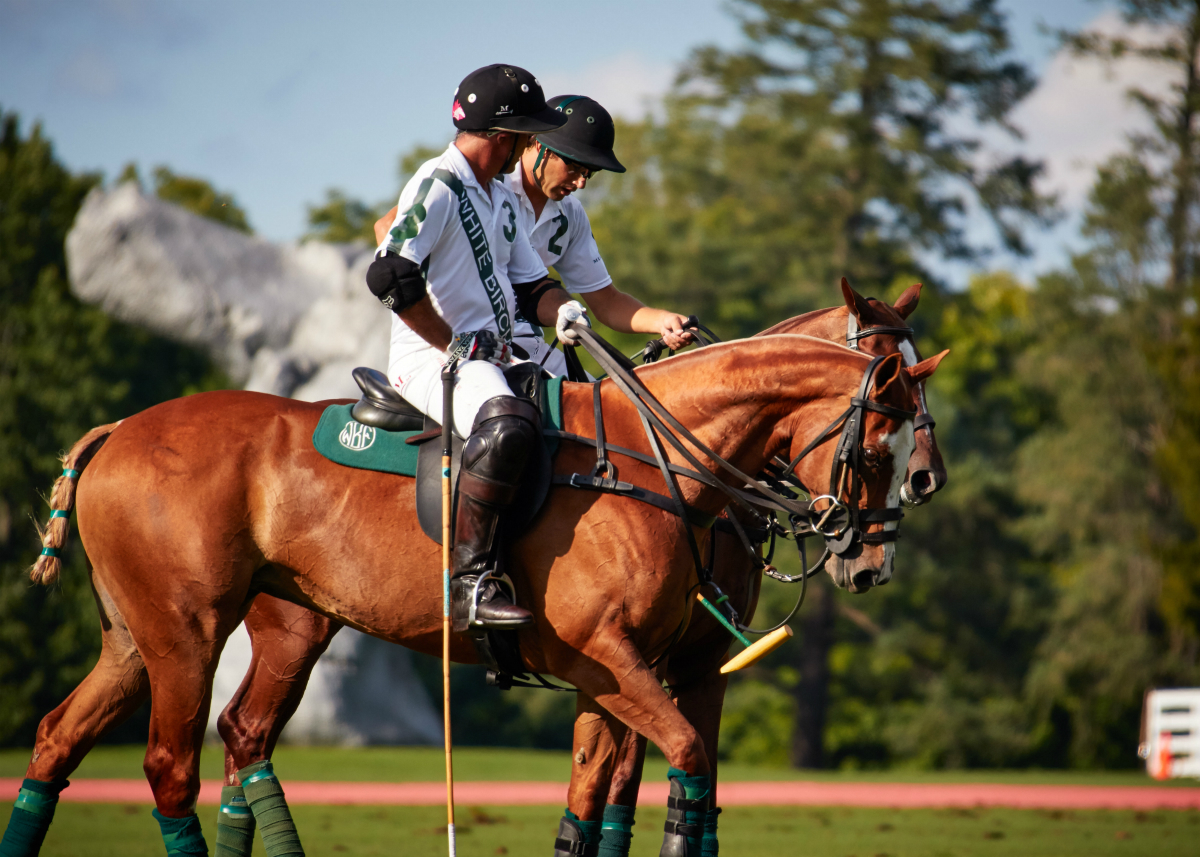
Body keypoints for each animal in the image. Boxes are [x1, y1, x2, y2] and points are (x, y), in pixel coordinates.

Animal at [14, 331, 940, 849]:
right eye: (874, 451)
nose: (871, 565)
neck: (655, 459)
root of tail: (116, 432)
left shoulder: (628, 672)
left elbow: (603, 792)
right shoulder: (616, 658)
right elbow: (685, 763)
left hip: (159, 637)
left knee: (70, 738)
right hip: (188, 631)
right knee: (173, 765)